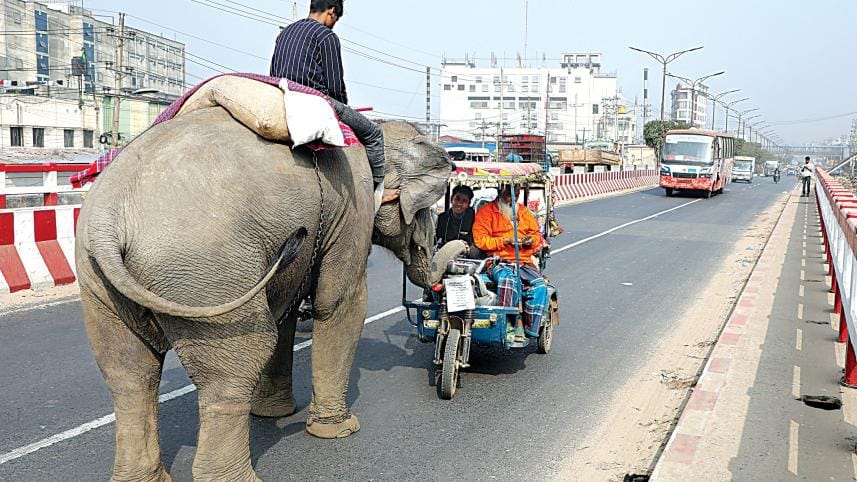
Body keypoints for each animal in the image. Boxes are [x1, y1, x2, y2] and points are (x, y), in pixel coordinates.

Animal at [75, 106, 453, 482]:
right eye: (428, 207)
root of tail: (108, 217)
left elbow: (284, 310)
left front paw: (273, 413)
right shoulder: (352, 206)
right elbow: (339, 304)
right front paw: (339, 430)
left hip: (100, 285)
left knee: (129, 375)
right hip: (208, 274)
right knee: (237, 362)